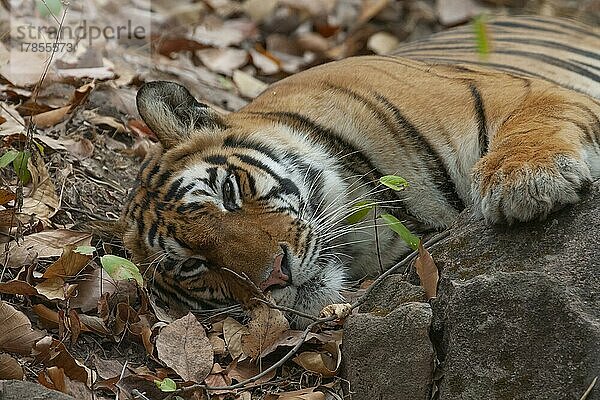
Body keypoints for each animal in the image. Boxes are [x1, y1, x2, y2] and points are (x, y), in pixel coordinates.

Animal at [110, 15, 596, 324]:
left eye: (228, 192)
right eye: (192, 265)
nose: (275, 277)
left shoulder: (514, 91)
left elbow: (533, 123)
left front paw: (527, 181)